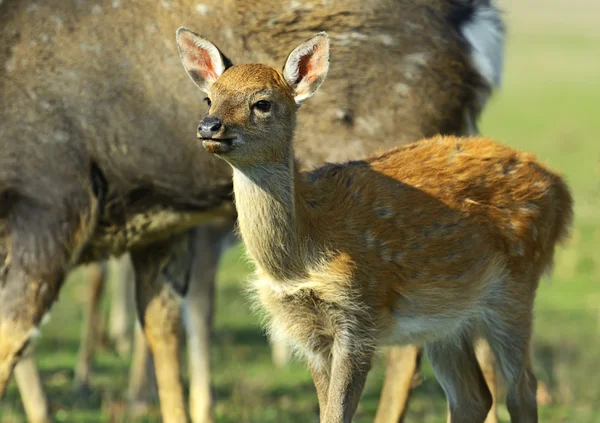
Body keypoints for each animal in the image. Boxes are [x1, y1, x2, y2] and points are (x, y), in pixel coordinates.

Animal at [176, 29, 576, 423]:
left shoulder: (359, 313)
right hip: (449, 316)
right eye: (208, 99)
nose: (209, 126)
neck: (300, 256)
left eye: (262, 103)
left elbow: (337, 413)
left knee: (522, 388)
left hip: (516, 286)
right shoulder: (306, 332)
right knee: (473, 396)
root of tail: (559, 189)